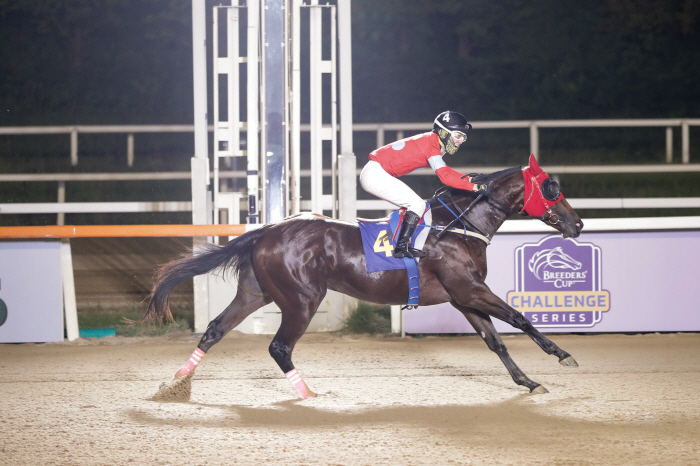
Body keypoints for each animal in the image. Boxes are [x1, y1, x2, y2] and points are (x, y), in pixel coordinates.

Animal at [146, 154, 580, 400]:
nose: (577, 223)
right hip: (302, 300)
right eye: (551, 187)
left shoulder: (463, 298)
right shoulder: (472, 289)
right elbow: (519, 319)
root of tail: (266, 230)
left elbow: (495, 341)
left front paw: (528, 382)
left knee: (215, 330)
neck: (459, 226)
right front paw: (563, 355)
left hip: (255, 293)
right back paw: (308, 394)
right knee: (279, 347)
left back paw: (176, 383)